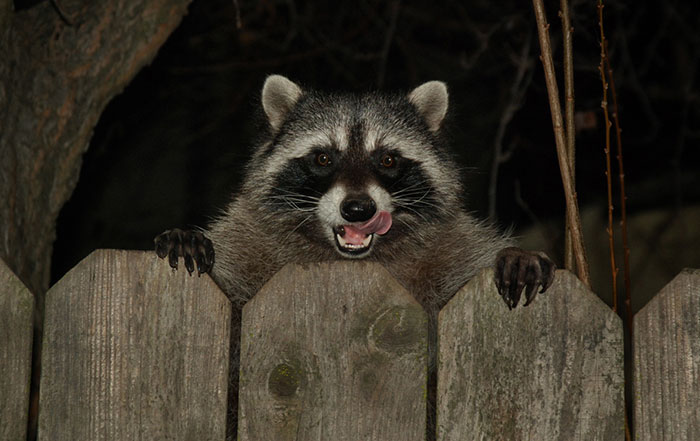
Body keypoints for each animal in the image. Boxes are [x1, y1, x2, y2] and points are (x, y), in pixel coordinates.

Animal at [156, 73, 556, 434]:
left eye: (388, 160)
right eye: (322, 158)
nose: (359, 209)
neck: (351, 260)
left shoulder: (448, 244)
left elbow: (470, 259)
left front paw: (513, 255)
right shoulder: (251, 238)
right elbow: (232, 299)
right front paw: (191, 240)